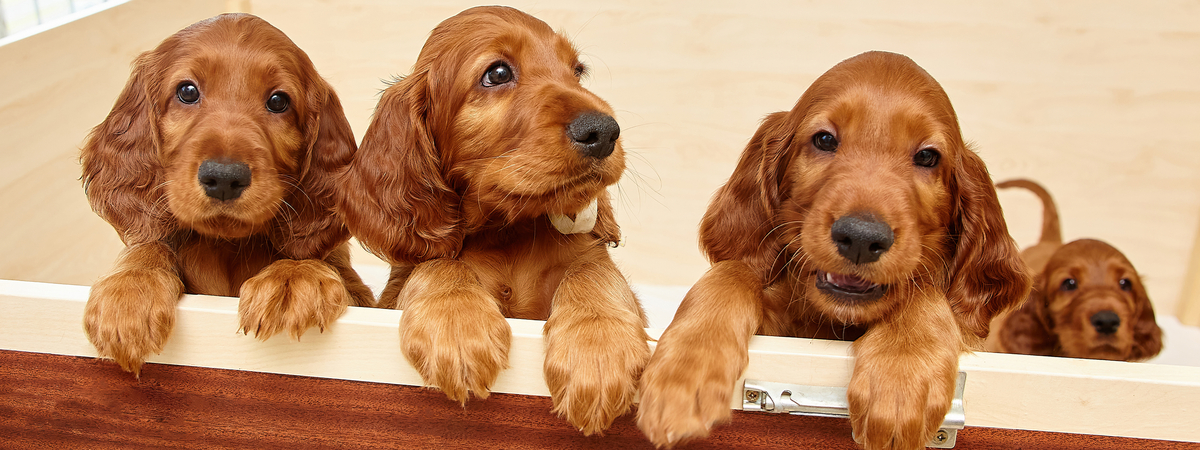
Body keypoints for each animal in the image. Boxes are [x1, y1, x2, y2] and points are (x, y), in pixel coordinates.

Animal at [82, 13, 372, 374]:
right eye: (187, 91)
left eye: (278, 101)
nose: (223, 178)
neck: (227, 247)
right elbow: (149, 244)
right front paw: (131, 288)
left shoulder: (364, 298)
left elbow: (313, 257)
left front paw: (294, 276)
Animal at [333, 6, 652, 436]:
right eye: (498, 74)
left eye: (577, 71)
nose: (604, 131)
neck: (507, 231)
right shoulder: (398, 288)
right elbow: (437, 264)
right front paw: (457, 326)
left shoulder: (596, 265)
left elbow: (593, 269)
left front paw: (598, 348)